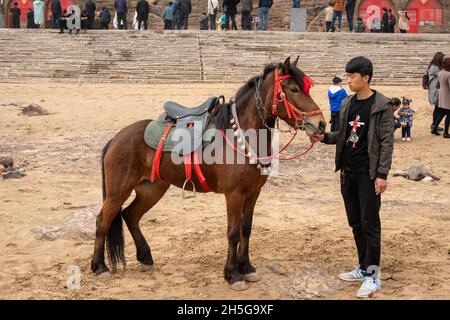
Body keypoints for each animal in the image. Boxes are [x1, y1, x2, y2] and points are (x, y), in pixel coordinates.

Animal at [89, 57, 326, 290]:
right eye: (294, 89)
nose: (321, 123)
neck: (242, 135)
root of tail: (117, 137)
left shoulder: (253, 193)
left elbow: (246, 229)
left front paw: (247, 268)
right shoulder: (234, 194)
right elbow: (233, 233)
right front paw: (233, 274)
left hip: (152, 189)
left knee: (130, 215)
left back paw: (145, 257)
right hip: (118, 191)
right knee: (102, 221)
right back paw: (99, 266)